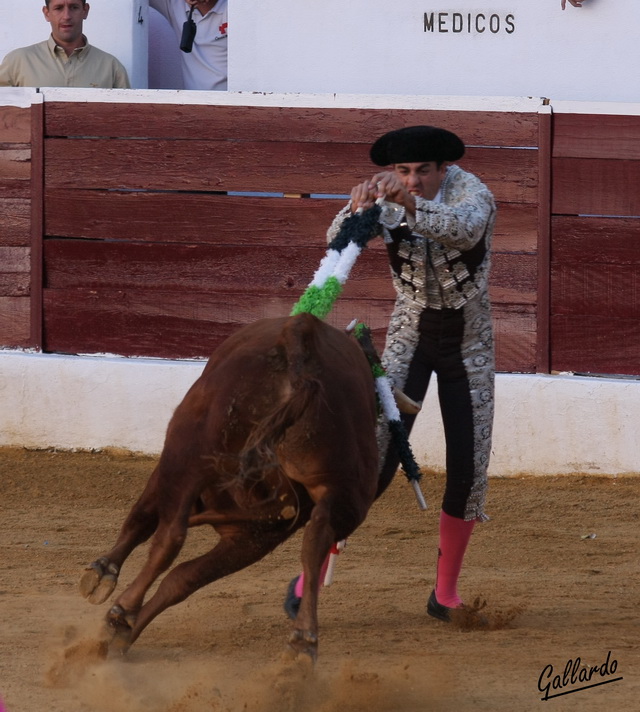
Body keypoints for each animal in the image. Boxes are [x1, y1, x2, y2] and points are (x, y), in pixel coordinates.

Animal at [80, 312, 380, 660]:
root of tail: (300, 342)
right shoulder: (251, 536)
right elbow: (182, 580)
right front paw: (120, 637)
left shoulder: (174, 479)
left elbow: (143, 522)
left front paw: (104, 576)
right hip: (343, 494)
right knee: (316, 539)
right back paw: (303, 641)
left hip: (189, 447)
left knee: (170, 535)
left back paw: (121, 611)